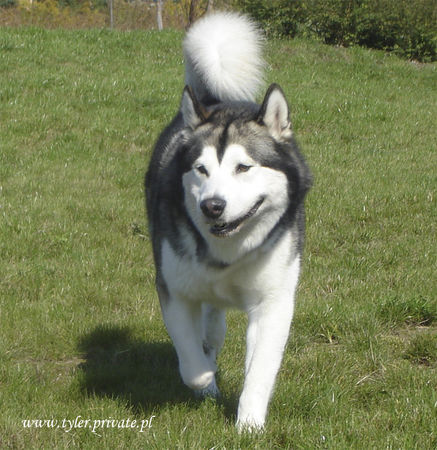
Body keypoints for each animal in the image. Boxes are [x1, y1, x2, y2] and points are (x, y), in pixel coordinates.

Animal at [145, 12, 312, 430]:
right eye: (201, 169)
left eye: (243, 167)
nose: (213, 206)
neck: (228, 254)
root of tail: (217, 100)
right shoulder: (173, 290)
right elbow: (191, 362)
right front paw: (205, 380)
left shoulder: (274, 302)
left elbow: (261, 368)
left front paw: (249, 423)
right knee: (211, 326)